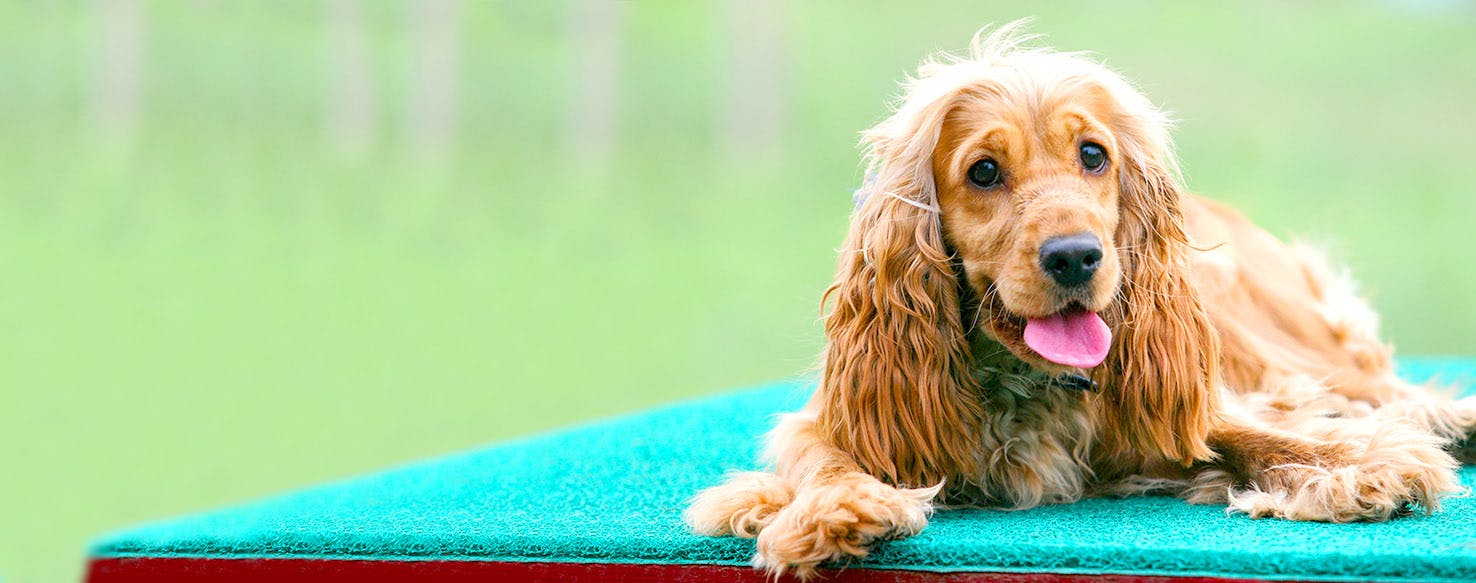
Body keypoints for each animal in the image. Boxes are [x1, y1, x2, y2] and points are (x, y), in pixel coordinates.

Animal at [687, 21, 1476, 578]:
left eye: (1093, 155)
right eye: (983, 171)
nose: (1075, 256)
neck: (1027, 386)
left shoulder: (1174, 399)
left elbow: (1246, 431)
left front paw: (1358, 464)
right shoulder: (831, 418)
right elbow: (821, 458)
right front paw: (834, 507)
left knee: (1372, 382)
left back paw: (1444, 421)